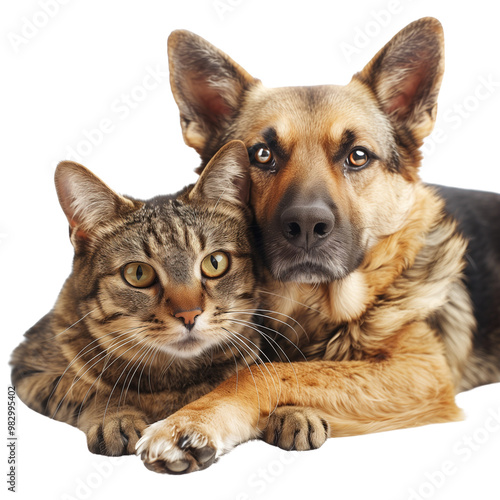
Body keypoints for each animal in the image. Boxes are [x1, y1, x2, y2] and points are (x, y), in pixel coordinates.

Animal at [9, 142, 268, 460]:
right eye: (138, 273)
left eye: (215, 262)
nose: (189, 314)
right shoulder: (28, 367)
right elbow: (83, 390)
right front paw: (116, 416)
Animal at [137, 17, 500, 474]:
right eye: (261, 154)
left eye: (357, 156)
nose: (307, 225)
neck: (313, 307)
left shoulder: (421, 371)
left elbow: (272, 372)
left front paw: (192, 419)